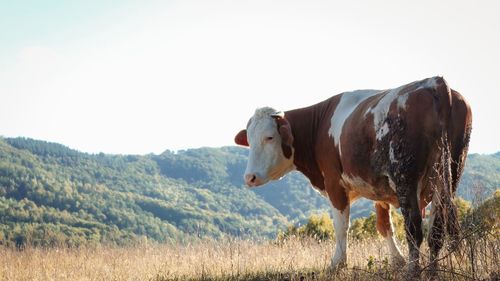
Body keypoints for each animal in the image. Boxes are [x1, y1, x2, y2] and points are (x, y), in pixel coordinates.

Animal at [234, 75, 472, 276]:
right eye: (250, 140)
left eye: (269, 137)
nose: (249, 177)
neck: (319, 125)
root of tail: (435, 83)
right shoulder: (380, 186)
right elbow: (384, 226)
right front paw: (397, 260)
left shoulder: (334, 182)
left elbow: (341, 226)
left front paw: (338, 263)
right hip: (449, 174)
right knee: (437, 228)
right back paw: (432, 270)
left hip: (406, 177)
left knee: (414, 227)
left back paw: (414, 271)